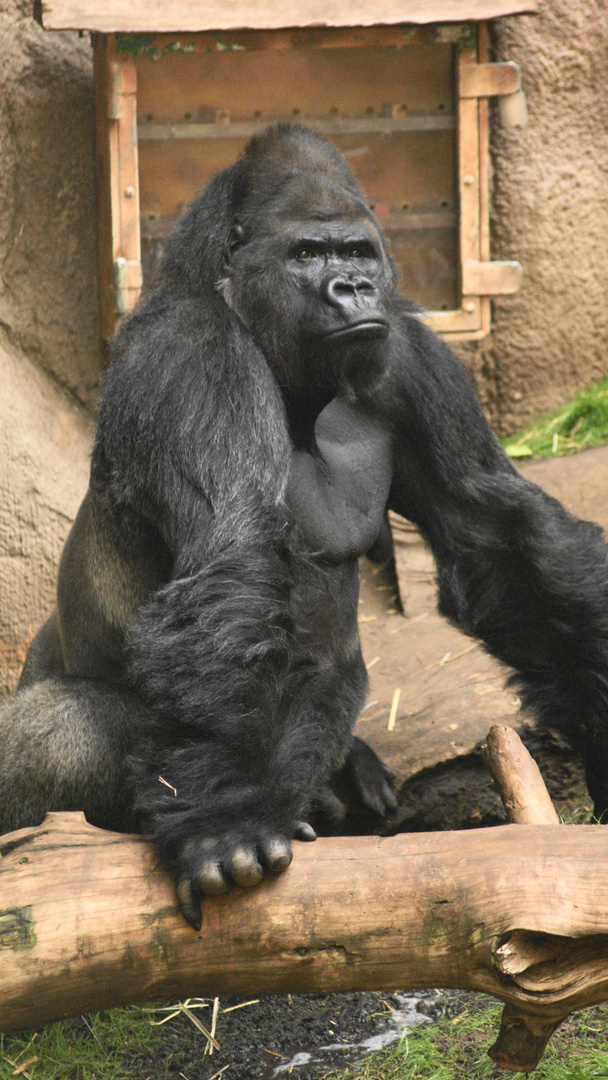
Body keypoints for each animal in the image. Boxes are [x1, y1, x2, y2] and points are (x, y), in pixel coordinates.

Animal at [1, 124, 608, 928]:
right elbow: (233, 566)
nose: (351, 289)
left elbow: (494, 539)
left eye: (357, 253)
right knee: (53, 733)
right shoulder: (194, 354)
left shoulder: (408, 352)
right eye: (307, 255)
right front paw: (225, 821)